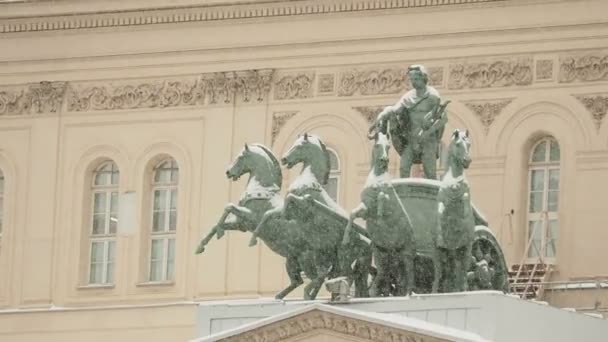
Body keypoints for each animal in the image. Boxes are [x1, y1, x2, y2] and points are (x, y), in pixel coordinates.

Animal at [432, 130, 476, 292]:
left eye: (469, 144)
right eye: (458, 144)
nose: (467, 160)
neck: (454, 176)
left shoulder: (466, 195)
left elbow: (464, 199)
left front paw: (464, 219)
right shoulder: (441, 199)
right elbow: (440, 211)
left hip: (464, 251)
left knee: (461, 274)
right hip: (441, 253)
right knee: (440, 273)